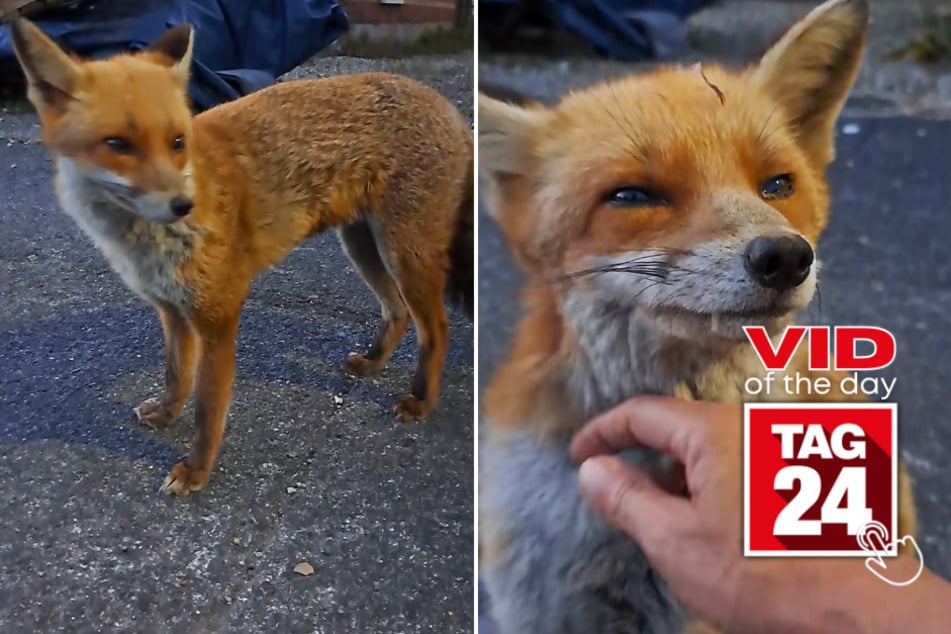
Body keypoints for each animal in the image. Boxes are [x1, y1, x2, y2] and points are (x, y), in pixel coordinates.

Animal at [11, 19, 473, 496]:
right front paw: (166, 415)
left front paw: (196, 471)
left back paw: (421, 399)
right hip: (362, 245)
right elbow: (177, 376)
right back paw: (373, 363)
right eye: (117, 143)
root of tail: (452, 110)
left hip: (404, 254)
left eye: (177, 141)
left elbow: (208, 409)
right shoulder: (172, 311)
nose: (183, 205)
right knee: (396, 312)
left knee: (436, 327)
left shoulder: (219, 314)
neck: (142, 244)